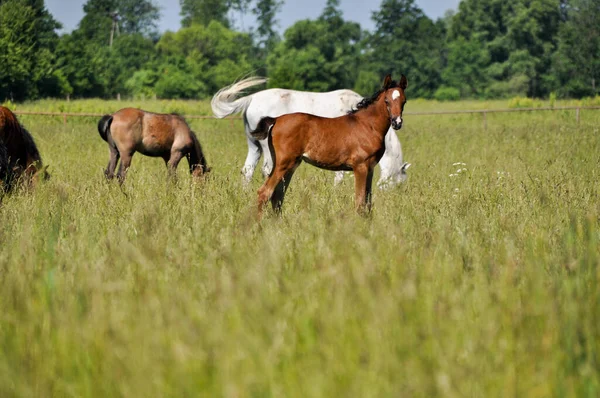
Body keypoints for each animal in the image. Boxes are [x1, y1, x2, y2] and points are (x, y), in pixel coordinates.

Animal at [209, 79, 410, 190]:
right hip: (266, 148)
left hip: (254, 146)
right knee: (267, 170)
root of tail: (251, 98)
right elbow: (340, 176)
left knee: (247, 171)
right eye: (399, 184)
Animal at [248, 74, 408, 218]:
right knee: (264, 193)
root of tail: (276, 119)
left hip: (291, 165)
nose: (397, 123)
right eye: (386, 100)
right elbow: (360, 203)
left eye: (404, 101)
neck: (368, 125)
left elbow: (367, 203)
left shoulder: (370, 169)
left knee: (277, 195)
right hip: (283, 163)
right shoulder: (360, 167)